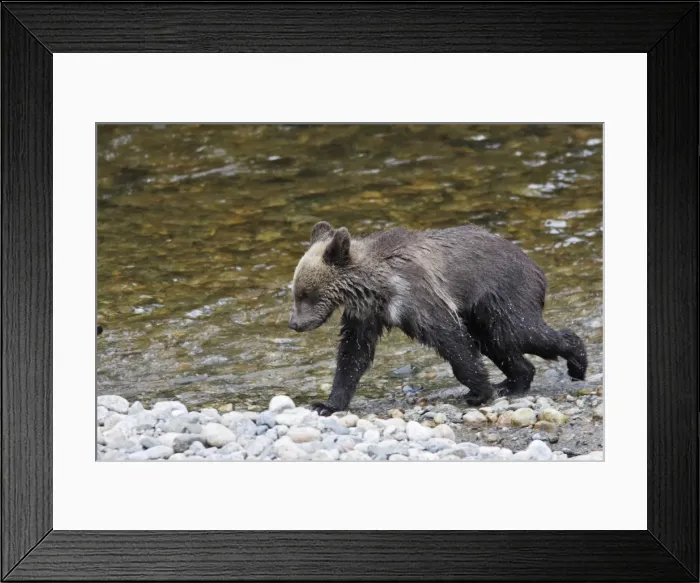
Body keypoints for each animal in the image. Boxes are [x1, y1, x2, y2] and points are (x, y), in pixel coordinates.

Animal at [289, 221, 587, 416]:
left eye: (304, 293)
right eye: (295, 292)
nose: (294, 324)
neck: (377, 288)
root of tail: (535, 266)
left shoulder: (418, 297)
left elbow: (452, 341)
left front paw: (479, 391)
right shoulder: (365, 315)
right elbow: (353, 354)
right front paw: (326, 404)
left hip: (503, 294)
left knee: (520, 333)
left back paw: (577, 364)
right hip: (481, 313)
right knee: (496, 344)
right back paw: (512, 384)